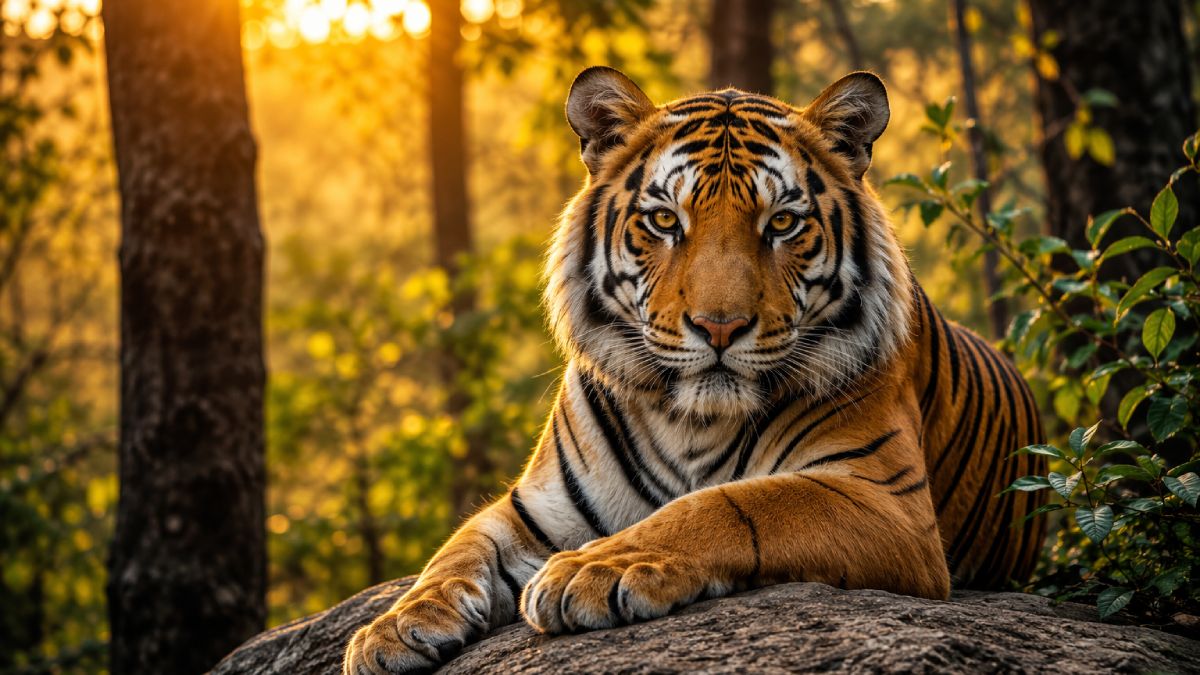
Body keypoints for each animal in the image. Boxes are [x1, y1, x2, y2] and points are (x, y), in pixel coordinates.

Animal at [343, 67, 1046, 674]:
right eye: (664, 220)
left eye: (782, 222)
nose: (719, 326)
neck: (692, 420)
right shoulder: (535, 506)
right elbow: (457, 548)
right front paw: (391, 628)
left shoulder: (886, 502)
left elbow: (734, 503)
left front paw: (594, 570)